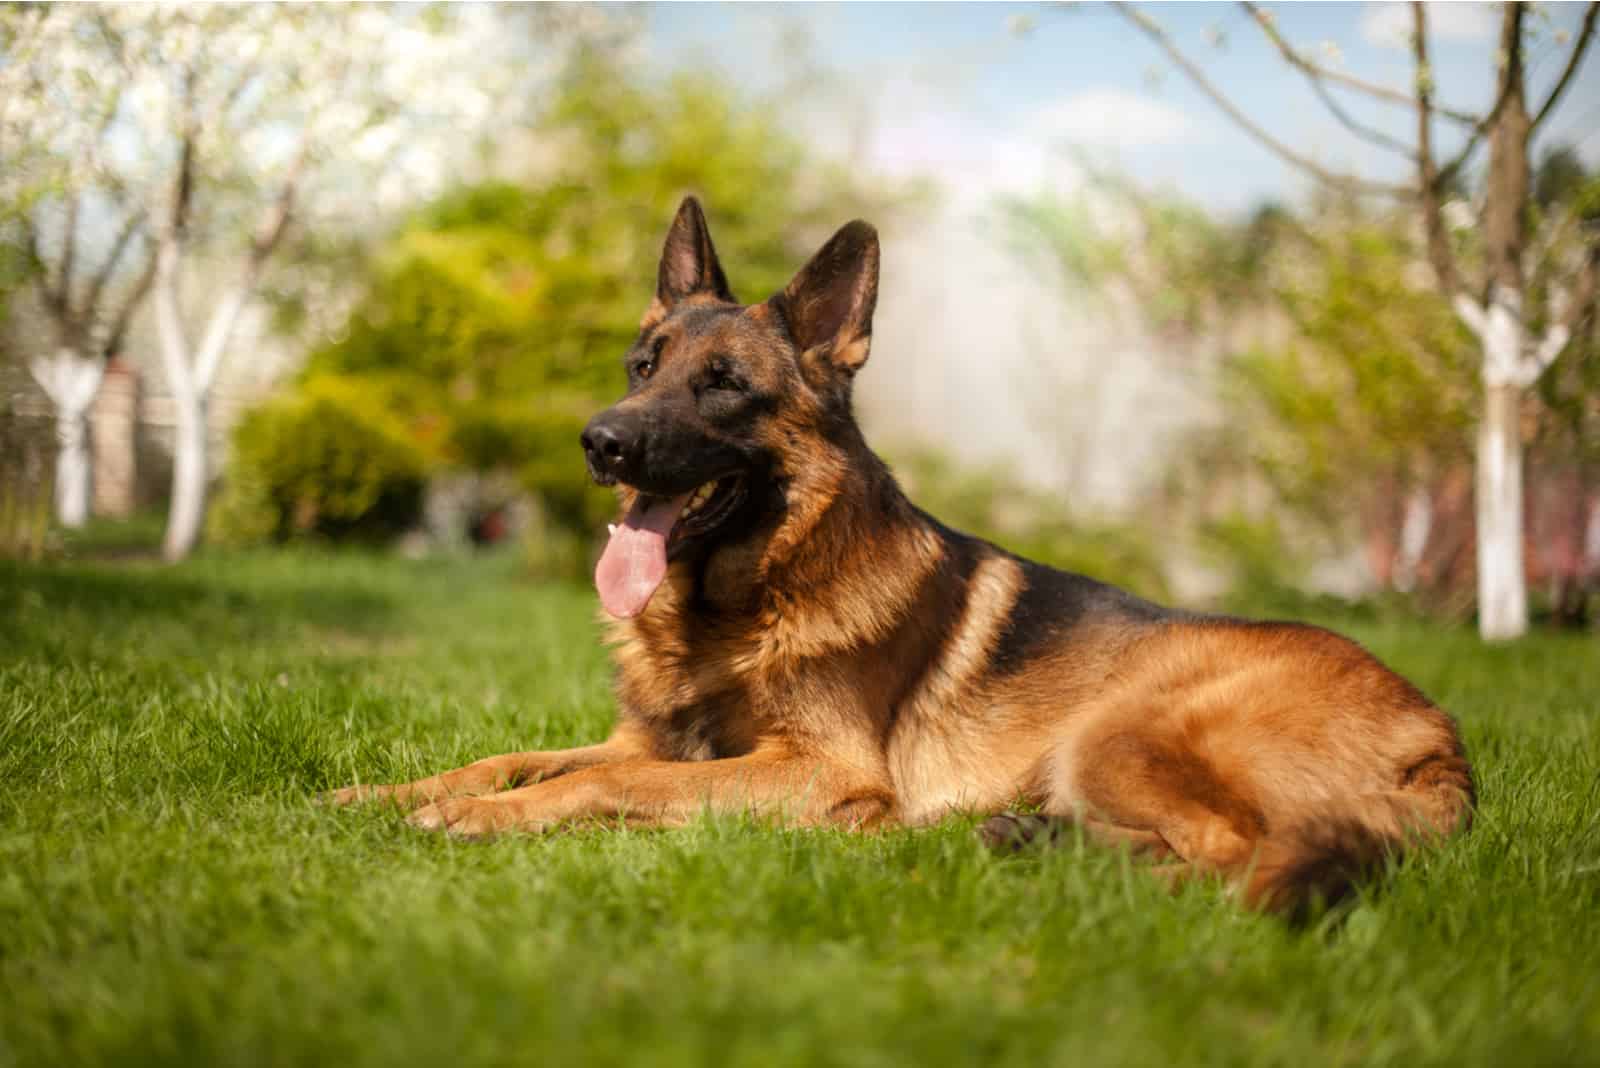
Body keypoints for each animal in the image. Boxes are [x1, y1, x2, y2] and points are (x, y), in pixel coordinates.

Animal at [331, 198, 1478, 908]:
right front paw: (387, 794)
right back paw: (1020, 841)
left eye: (722, 386)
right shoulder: (645, 741)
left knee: (1236, 859)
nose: (599, 441)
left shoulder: (805, 769)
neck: (742, 604)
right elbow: (520, 757)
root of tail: (1439, 732)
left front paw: (482, 819)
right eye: (641, 366)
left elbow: (596, 787)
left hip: (1121, 731)